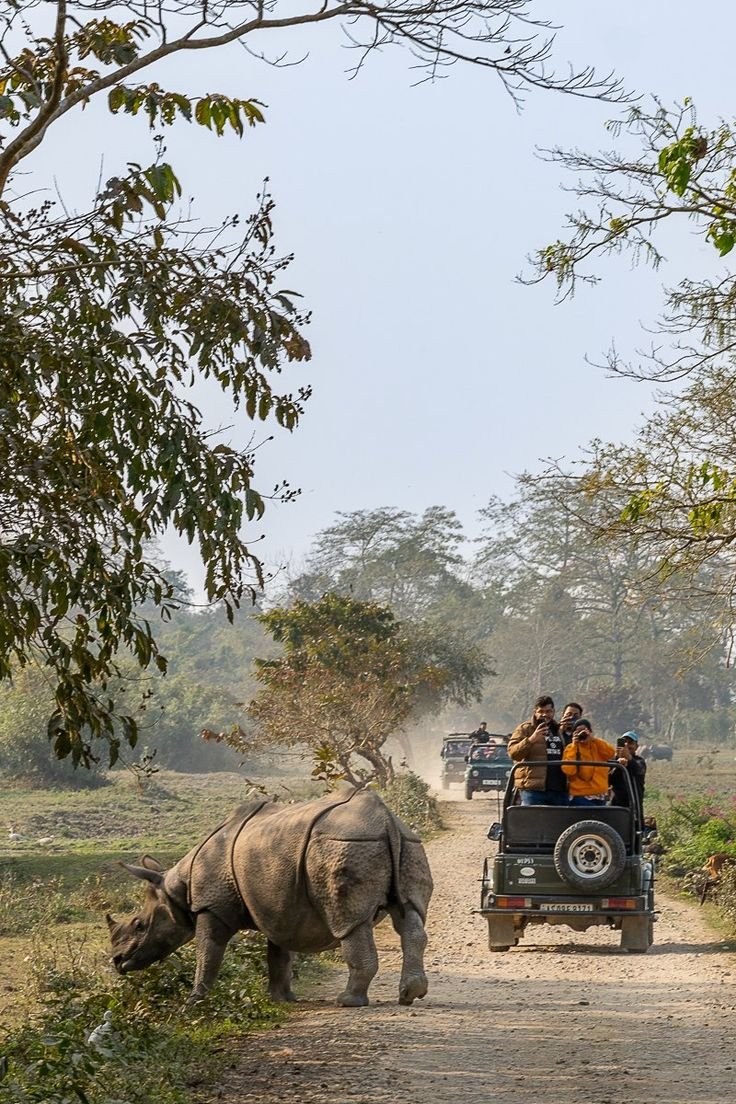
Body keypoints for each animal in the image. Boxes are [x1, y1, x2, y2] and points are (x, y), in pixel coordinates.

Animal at [107, 787, 433, 1007]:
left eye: (139, 924)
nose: (117, 961)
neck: (176, 889)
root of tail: (385, 820)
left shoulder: (211, 906)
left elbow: (208, 952)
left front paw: (194, 1002)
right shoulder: (280, 906)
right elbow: (279, 953)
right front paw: (282, 999)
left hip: (345, 845)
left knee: (349, 922)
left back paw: (347, 1001)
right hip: (406, 843)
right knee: (408, 915)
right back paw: (410, 994)